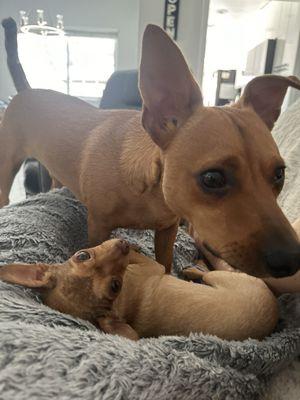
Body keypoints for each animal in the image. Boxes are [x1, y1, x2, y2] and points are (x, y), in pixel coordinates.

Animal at [1, 18, 300, 276]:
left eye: (279, 174)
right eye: (212, 179)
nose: (291, 260)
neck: (150, 193)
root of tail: (27, 91)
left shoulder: (167, 230)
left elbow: (165, 265)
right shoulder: (98, 227)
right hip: (9, 162)